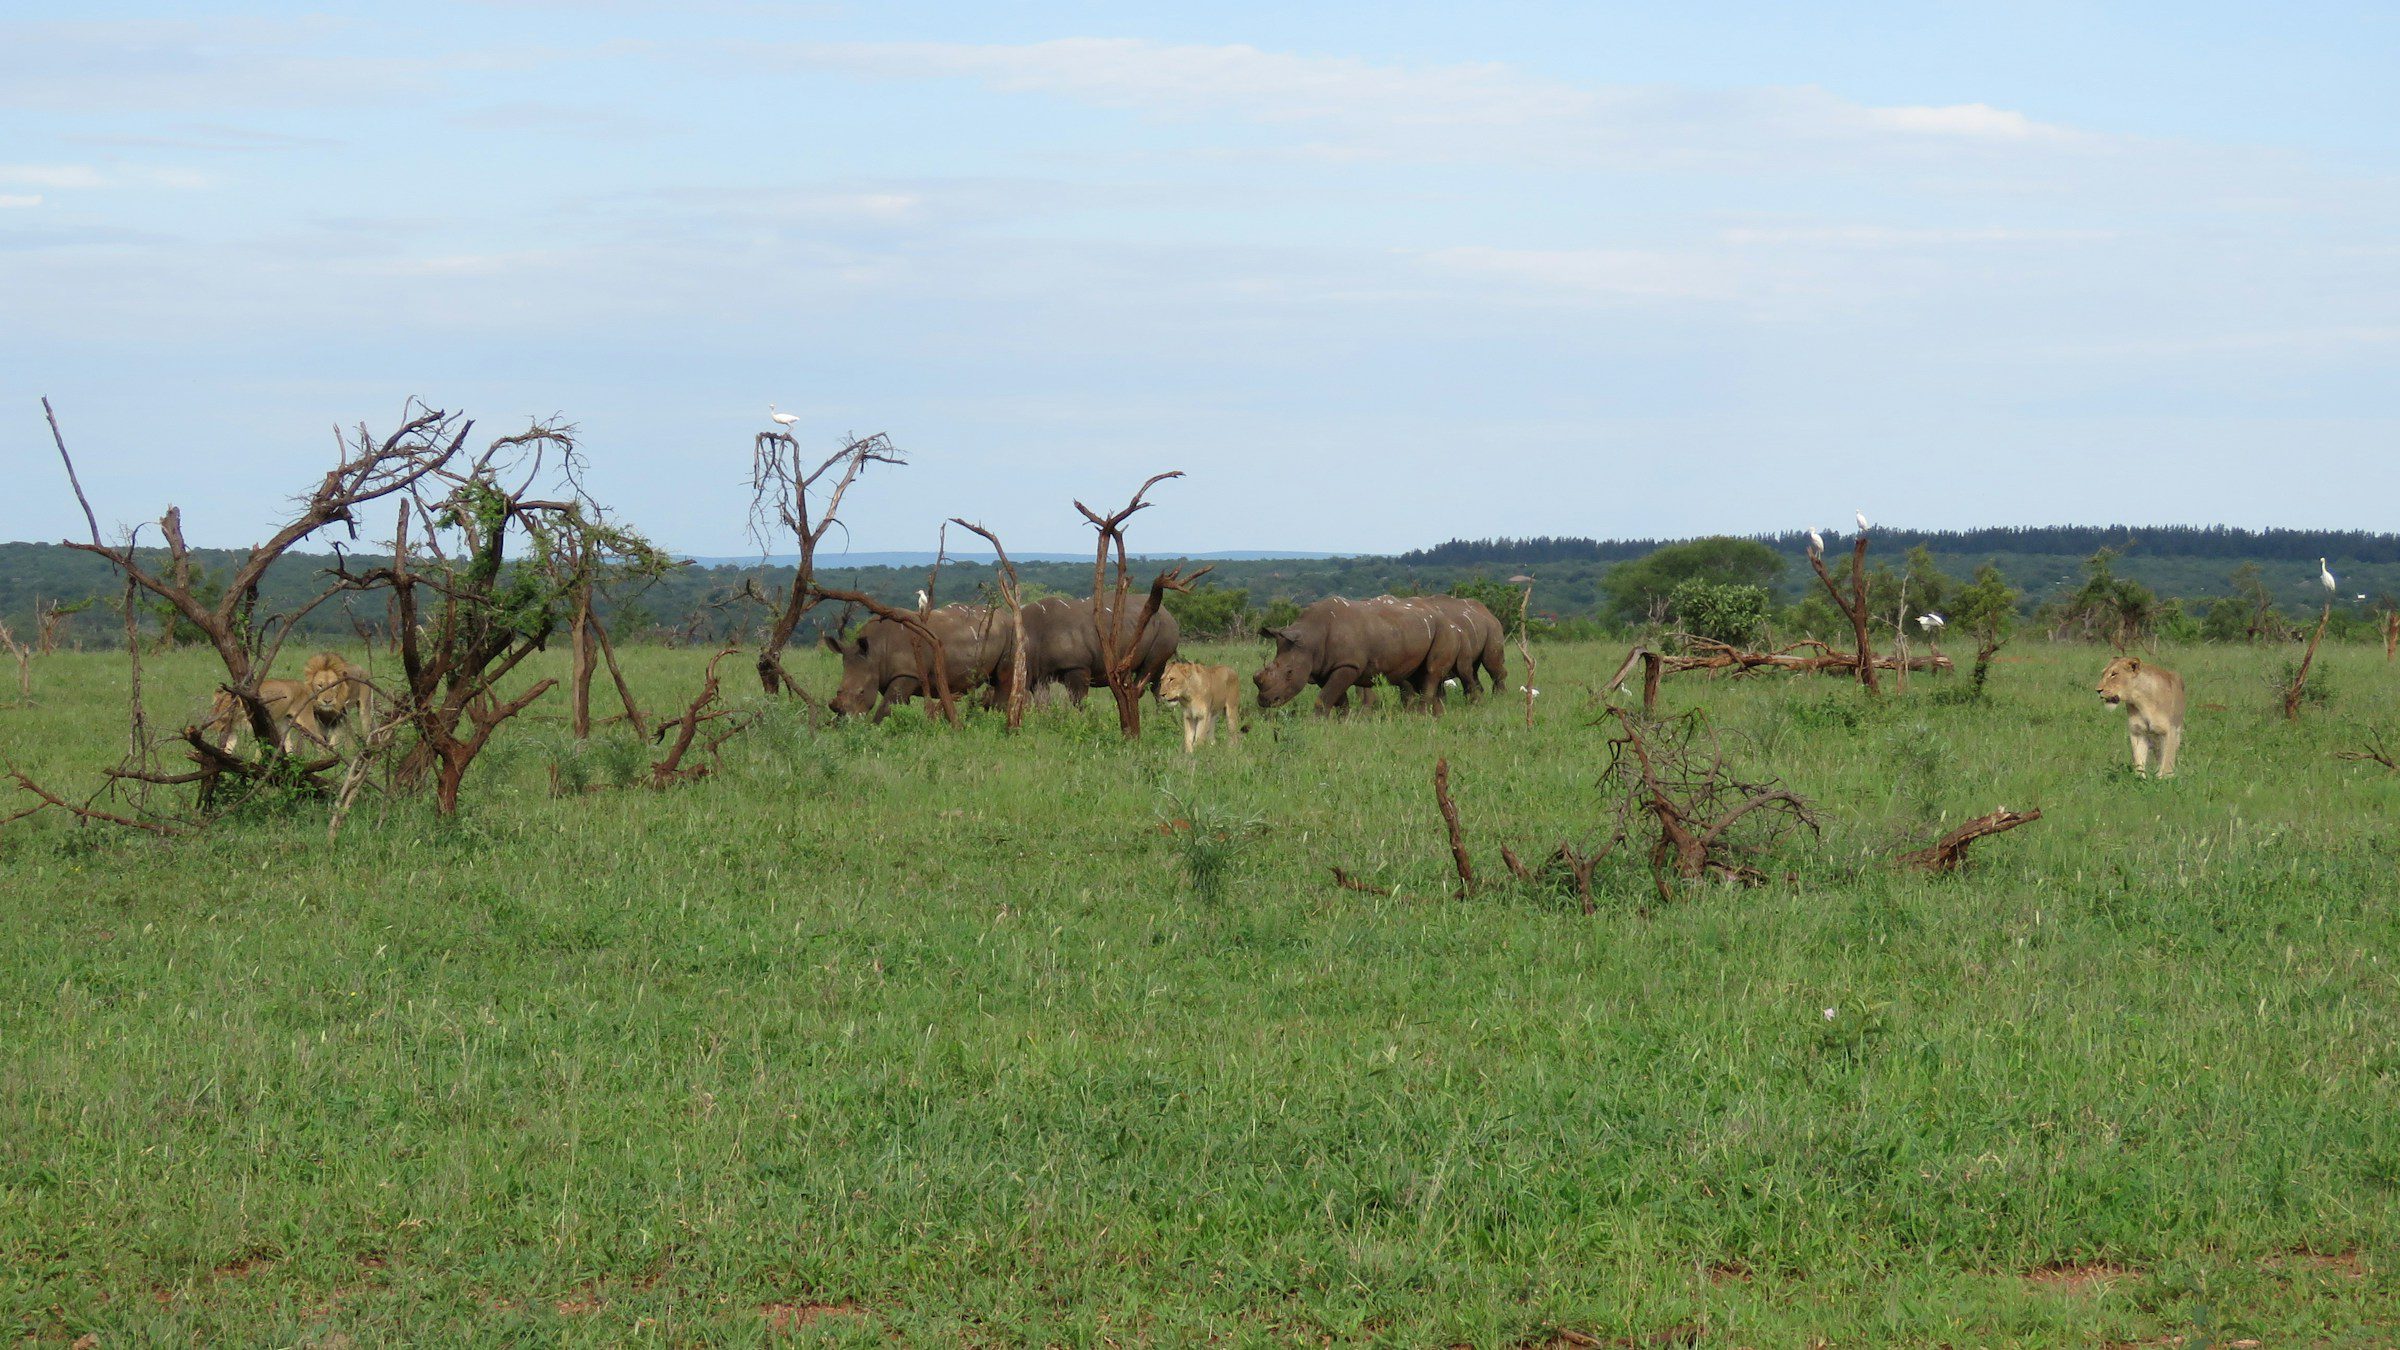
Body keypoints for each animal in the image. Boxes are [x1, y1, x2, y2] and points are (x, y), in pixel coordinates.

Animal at [208, 652, 373, 754]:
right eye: (213, 711)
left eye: (222, 715)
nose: (213, 728)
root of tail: (303, 685)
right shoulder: (233, 731)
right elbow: (227, 751)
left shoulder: (261, 727)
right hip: (283, 723)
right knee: (288, 745)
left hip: (306, 719)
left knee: (320, 739)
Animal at [825, 604, 1006, 719]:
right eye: (837, 691)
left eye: (861, 692)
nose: (846, 721)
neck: (875, 652)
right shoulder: (887, 676)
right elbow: (897, 705)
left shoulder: (908, 673)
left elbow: (885, 708)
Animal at [1252, 596, 1462, 713]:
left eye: (1289, 672)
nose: (1265, 701)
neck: (1310, 637)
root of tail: (1449, 619)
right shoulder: (1323, 668)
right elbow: (1338, 701)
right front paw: (1341, 723)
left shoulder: (1348, 664)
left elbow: (1324, 699)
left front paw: (1317, 724)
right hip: (1418, 631)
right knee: (1419, 676)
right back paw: (1436, 719)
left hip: (1444, 630)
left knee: (1431, 673)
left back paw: (1421, 718)